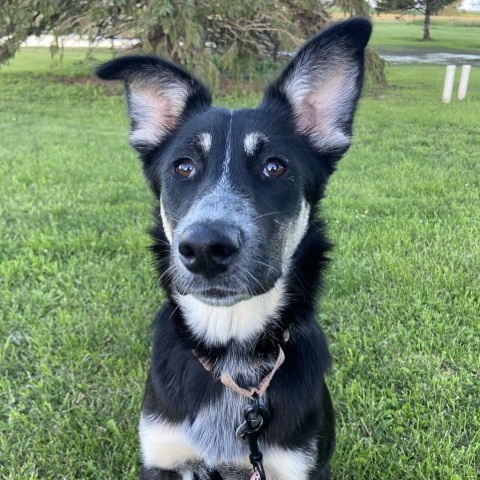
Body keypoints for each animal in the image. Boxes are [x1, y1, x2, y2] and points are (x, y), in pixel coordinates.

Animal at [96, 16, 372, 478]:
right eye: (183, 167)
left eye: (274, 167)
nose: (205, 248)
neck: (232, 355)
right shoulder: (162, 458)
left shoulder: (300, 465)